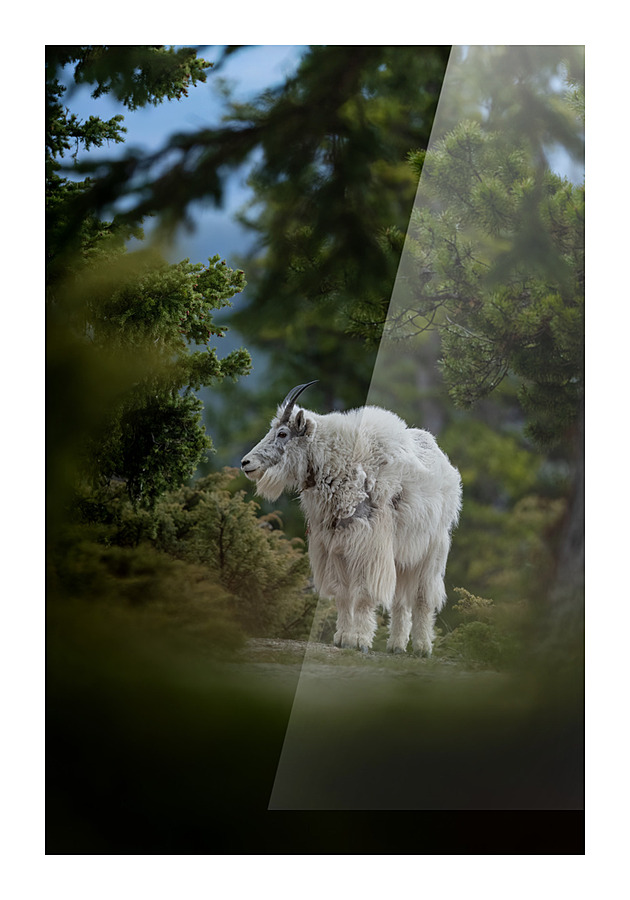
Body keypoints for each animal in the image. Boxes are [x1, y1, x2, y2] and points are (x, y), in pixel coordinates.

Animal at [241, 382, 462, 656]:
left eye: (282, 433)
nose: (246, 463)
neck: (339, 463)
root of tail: (445, 464)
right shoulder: (336, 548)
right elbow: (343, 594)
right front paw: (342, 639)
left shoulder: (369, 546)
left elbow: (365, 594)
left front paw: (359, 641)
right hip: (402, 554)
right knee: (400, 599)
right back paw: (396, 646)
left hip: (433, 548)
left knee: (423, 596)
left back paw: (421, 647)